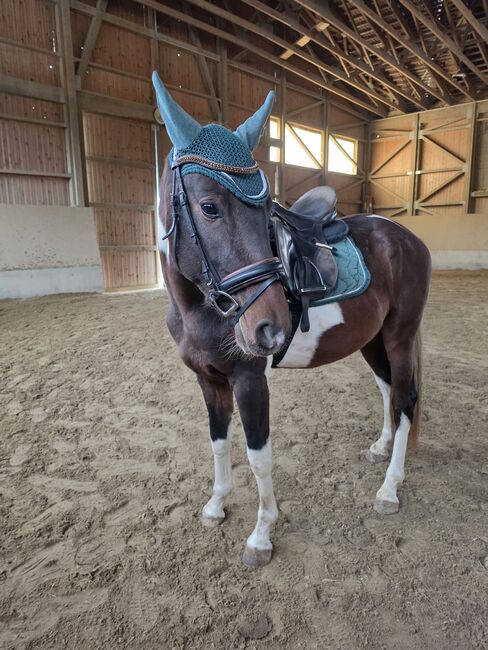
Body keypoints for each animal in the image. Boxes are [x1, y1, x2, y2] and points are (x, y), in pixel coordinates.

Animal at [152, 72, 432, 568]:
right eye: (209, 207)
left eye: (265, 214)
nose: (270, 329)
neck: (199, 308)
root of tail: (408, 239)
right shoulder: (208, 380)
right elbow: (218, 442)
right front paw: (216, 505)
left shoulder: (249, 380)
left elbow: (258, 456)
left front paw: (261, 536)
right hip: (372, 340)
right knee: (388, 392)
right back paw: (380, 449)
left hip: (400, 336)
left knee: (406, 400)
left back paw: (389, 490)